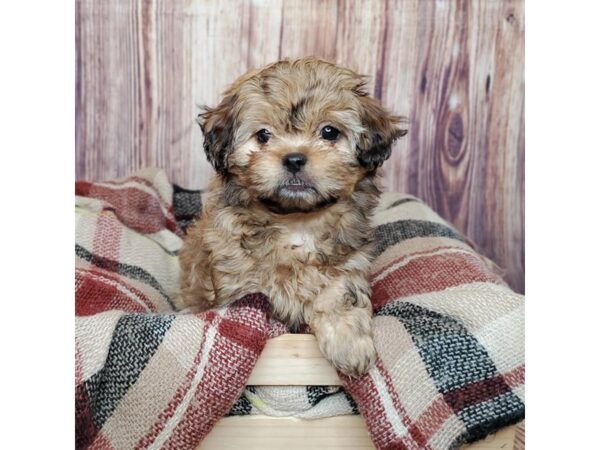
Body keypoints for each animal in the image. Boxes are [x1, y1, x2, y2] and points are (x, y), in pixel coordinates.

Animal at [176, 58, 406, 378]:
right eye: (263, 135)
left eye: (329, 132)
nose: (294, 158)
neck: (296, 221)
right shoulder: (239, 281)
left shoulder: (347, 267)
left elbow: (340, 295)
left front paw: (349, 346)